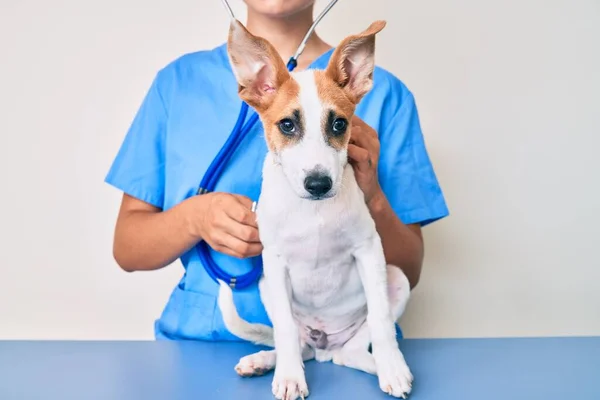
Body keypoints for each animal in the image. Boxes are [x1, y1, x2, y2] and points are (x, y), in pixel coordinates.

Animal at [218, 18, 414, 400]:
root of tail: (326, 344)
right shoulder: (274, 261)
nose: (319, 184)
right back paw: (265, 360)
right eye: (287, 125)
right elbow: (284, 331)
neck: (315, 213)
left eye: (339, 124)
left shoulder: (369, 249)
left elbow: (382, 321)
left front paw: (393, 367)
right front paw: (289, 377)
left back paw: (380, 365)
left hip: (396, 277)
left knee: (350, 352)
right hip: (265, 284)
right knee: (298, 343)